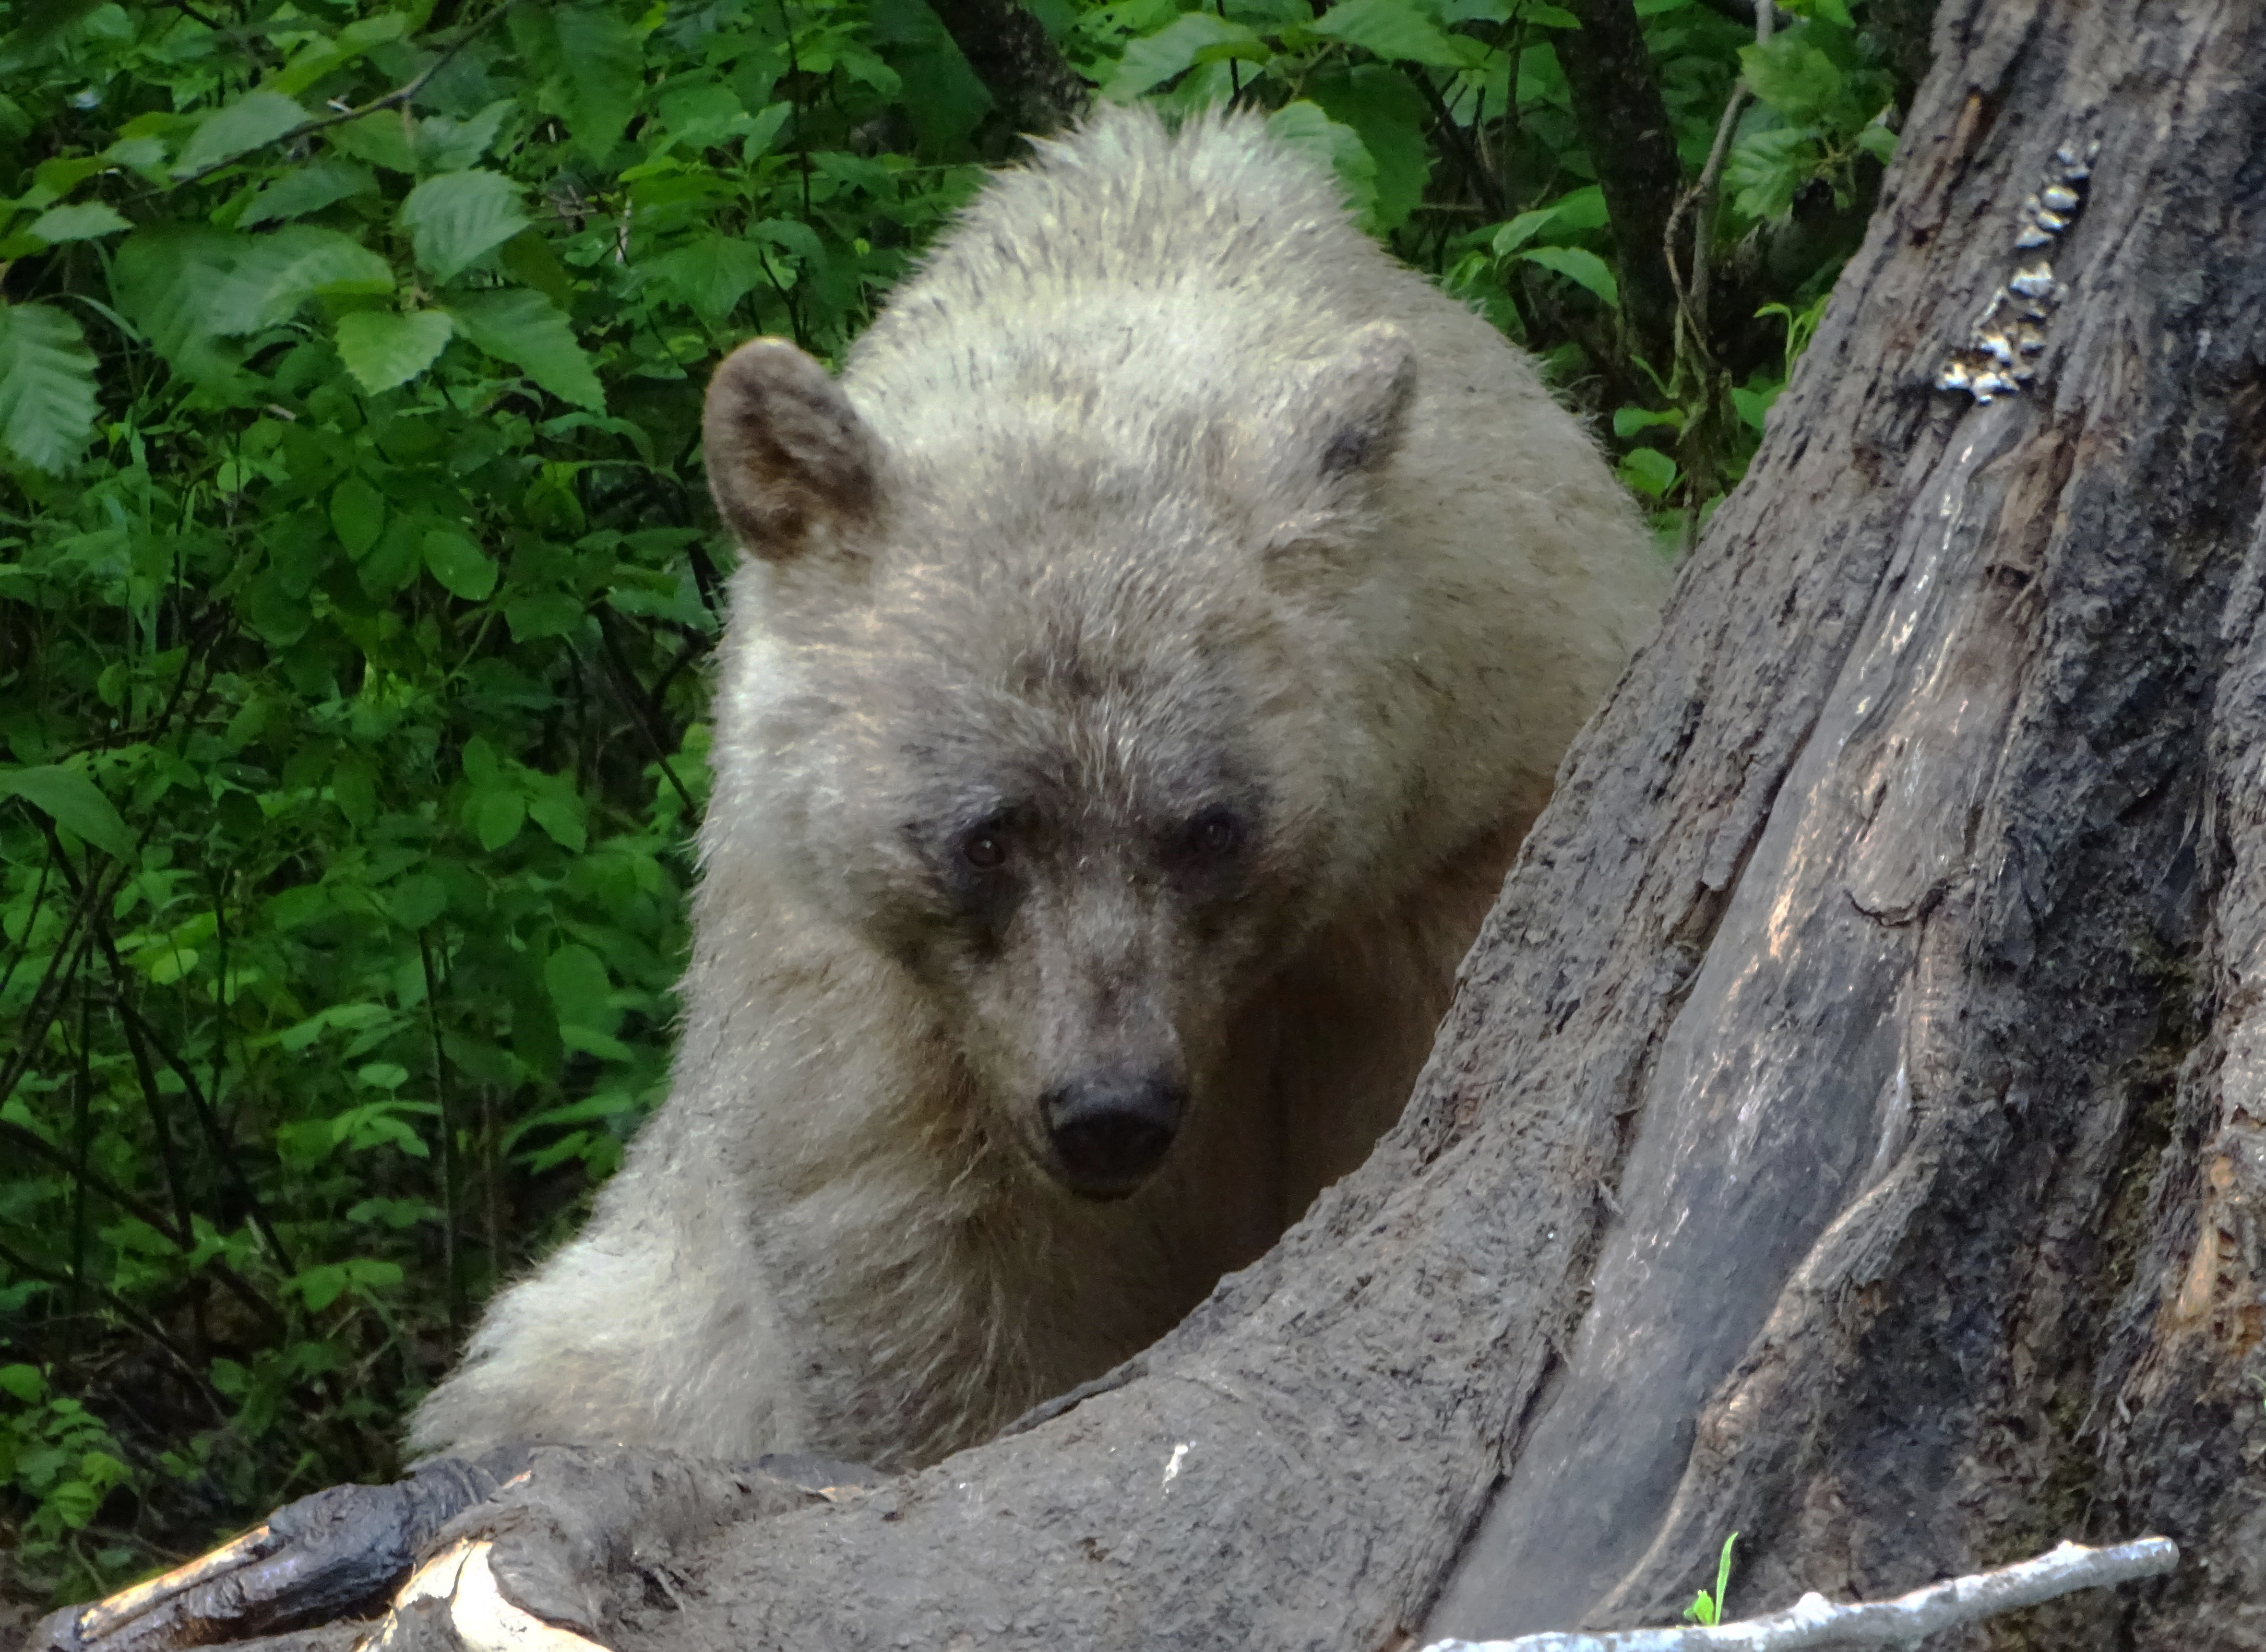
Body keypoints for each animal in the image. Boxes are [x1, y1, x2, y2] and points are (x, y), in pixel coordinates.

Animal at [409, 105, 1666, 1472]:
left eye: (1209, 827)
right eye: (989, 834)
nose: (1108, 1109)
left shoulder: (1468, 817)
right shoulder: (865, 998)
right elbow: (925, 1274)